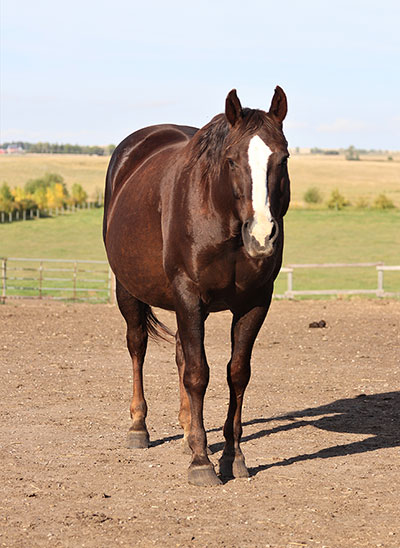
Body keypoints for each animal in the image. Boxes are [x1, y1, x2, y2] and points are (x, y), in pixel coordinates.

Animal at [103, 86, 290, 486]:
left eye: (282, 158)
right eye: (232, 160)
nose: (261, 235)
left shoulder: (254, 303)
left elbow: (237, 373)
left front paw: (233, 456)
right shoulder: (189, 296)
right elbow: (197, 373)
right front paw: (202, 462)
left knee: (178, 352)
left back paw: (188, 429)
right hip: (129, 291)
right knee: (137, 346)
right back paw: (139, 427)